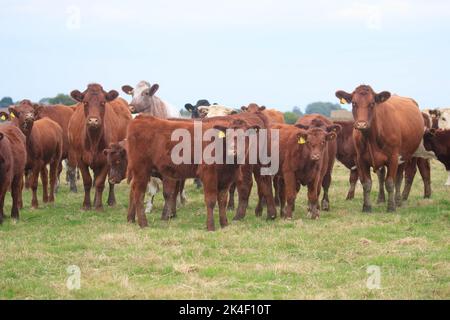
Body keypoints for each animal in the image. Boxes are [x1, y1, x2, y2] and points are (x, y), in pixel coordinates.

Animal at [338, 86, 426, 214]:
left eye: (372, 103)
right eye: (354, 103)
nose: (361, 124)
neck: (371, 137)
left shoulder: (393, 158)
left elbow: (389, 183)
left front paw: (391, 207)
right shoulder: (360, 159)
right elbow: (366, 183)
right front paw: (367, 207)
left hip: (405, 156)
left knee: (399, 178)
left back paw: (398, 201)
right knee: (383, 176)